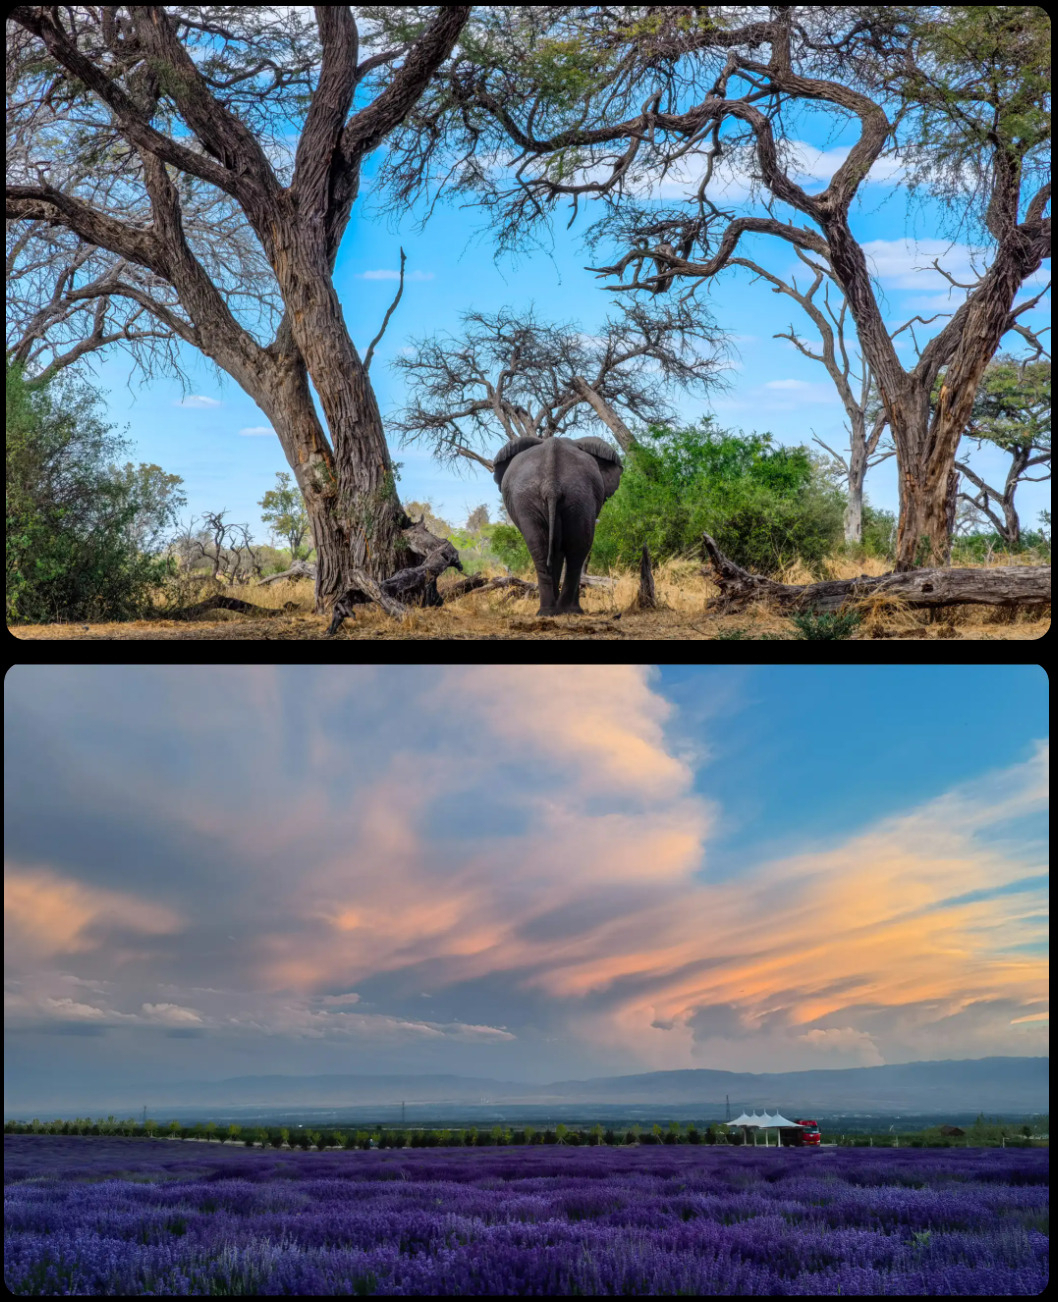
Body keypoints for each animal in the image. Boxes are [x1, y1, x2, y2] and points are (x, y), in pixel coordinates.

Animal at [494, 432, 622, 614]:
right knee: (576, 547)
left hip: (561, 494)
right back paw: (567, 610)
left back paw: (550, 611)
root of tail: (551, 484)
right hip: (573, 493)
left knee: (542, 548)